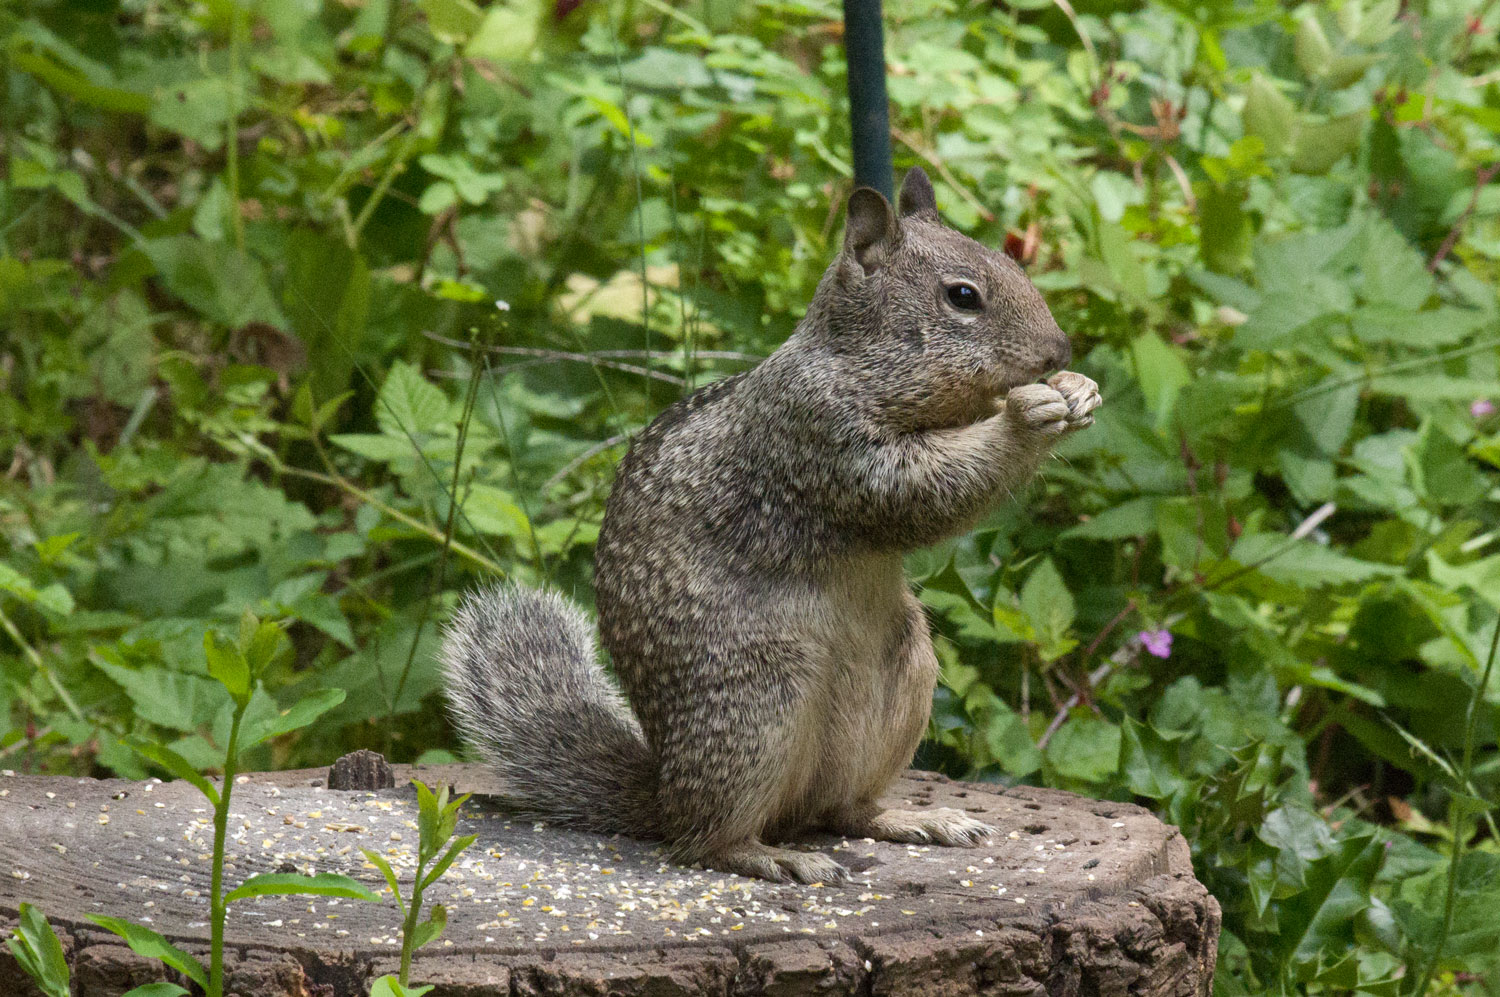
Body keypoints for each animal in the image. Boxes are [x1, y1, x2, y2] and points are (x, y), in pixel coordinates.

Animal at [442, 168, 1101, 883]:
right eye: (962, 297)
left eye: (1014, 262)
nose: (1058, 351)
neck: (861, 366)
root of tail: (662, 790)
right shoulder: (819, 438)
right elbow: (916, 494)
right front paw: (1028, 415)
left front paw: (1080, 390)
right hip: (758, 704)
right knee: (703, 840)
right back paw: (768, 855)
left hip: (903, 679)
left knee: (843, 810)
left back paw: (913, 818)